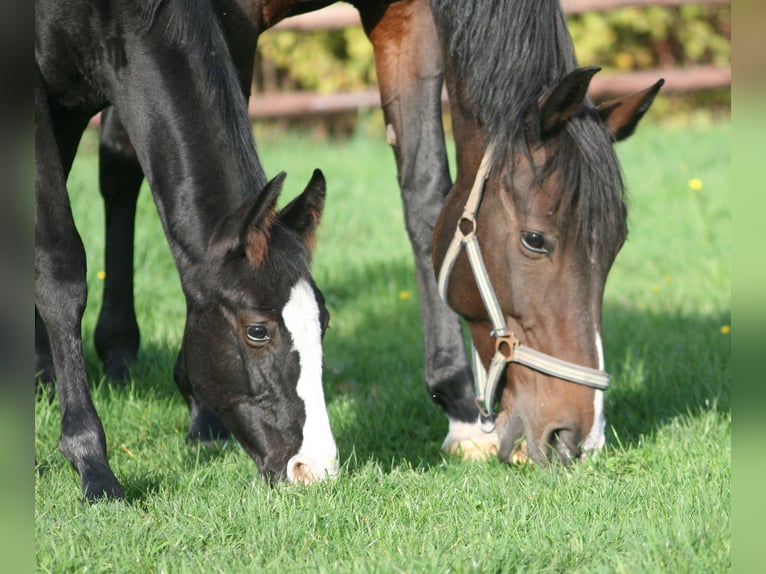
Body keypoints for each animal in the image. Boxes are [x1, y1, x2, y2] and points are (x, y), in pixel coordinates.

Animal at [87, 0, 664, 468]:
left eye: (616, 248)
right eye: (535, 241)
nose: (579, 436)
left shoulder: (406, 15)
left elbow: (426, 193)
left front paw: (460, 410)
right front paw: (205, 408)